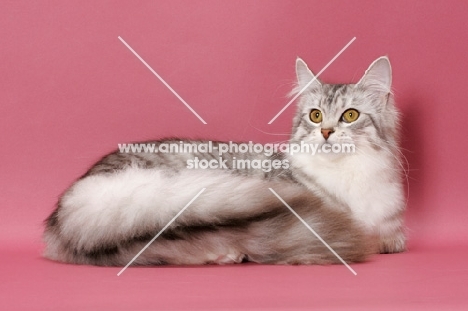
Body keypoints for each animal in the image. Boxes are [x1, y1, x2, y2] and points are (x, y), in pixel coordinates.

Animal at [42, 56, 404, 266]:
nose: (326, 132)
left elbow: (392, 240)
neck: (346, 174)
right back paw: (227, 254)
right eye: (315, 116)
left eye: (350, 115)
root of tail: (75, 195)